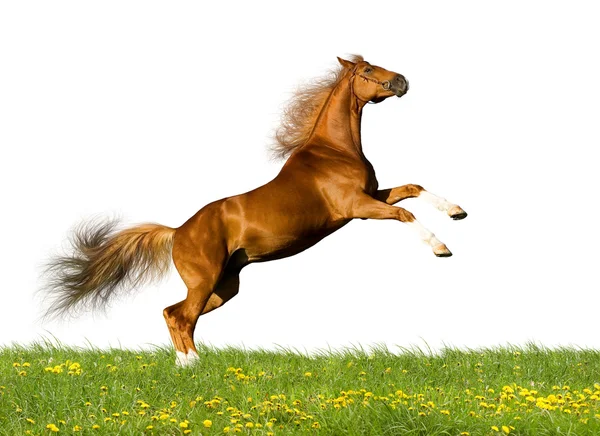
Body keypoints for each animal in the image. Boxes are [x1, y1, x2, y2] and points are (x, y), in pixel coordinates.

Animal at [45, 56, 468, 366]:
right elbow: (406, 215)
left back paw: (186, 366)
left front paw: (457, 211)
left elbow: (413, 188)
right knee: (180, 316)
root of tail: (178, 231)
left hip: (223, 287)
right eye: (366, 71)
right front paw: (441, 248)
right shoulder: (357, 207)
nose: (401, 80)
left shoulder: (374, 195)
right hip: (204, 281)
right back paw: (194, 365)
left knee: (174, 313)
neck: (334, 151)